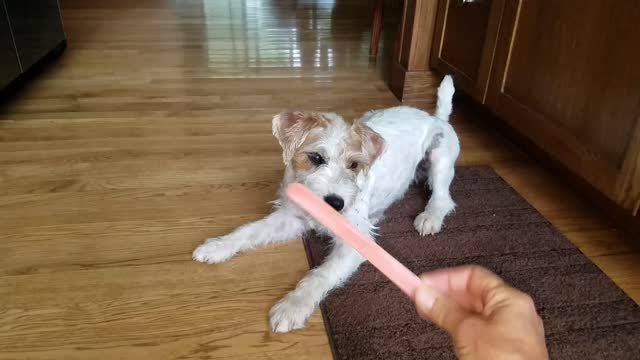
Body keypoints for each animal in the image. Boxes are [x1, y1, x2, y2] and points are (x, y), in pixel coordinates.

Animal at [192, 75, 458, 332]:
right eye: (316, 158)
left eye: (354, 165)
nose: (336, 204)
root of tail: (435, 117)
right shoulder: (291, 217)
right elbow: (249, 231)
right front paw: (218, 246)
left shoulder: (356, 241)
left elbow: (320, 274)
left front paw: (292, 306)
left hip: (439, 159)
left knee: (444, 198)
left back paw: (430, 217)